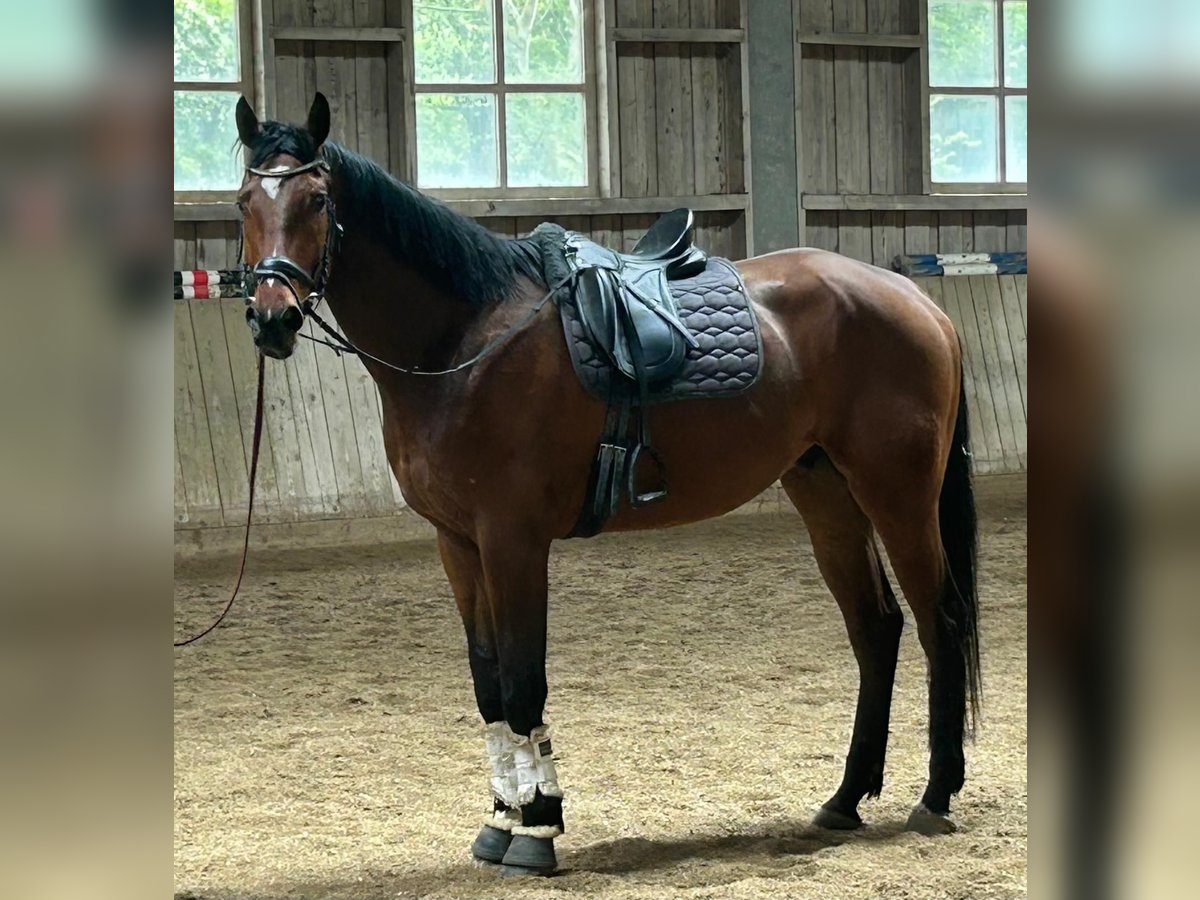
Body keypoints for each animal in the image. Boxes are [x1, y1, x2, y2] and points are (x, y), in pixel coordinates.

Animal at [229, 95, 979, 878]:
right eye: (245, 200)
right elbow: (488, 682)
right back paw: (845, 798)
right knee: (877, 628)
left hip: (898, 495)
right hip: (828, 496)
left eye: (316, 201)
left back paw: (935, 796)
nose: (272, 317)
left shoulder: (513, 540)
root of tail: (916, 301)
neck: (467, 341)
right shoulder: (457, 544)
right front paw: (500, 819)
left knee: (942, 619)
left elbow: (524, 680)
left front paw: (538, 828)